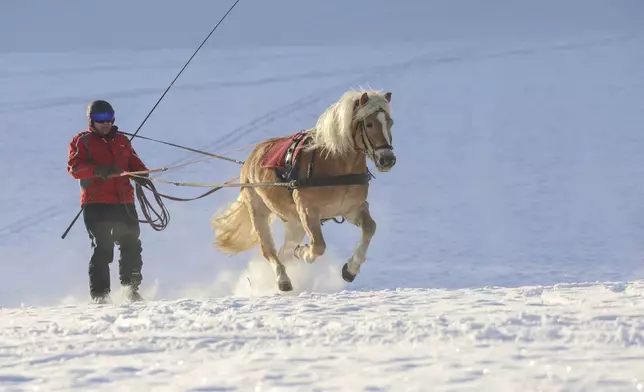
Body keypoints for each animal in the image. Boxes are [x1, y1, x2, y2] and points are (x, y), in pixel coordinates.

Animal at [211, 89, 394, 290]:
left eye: (390, 123)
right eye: (369, 124)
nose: (388, 159)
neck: (335, 164)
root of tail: (251, 158)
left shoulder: (351, 209)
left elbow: (370, 227)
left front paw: (350, 269)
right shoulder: (308, 211)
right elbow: (318, 246)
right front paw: (303, 253)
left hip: (294, 222)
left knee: (283, 252)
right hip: (259, 211)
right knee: (268, 251)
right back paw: (282, 279)